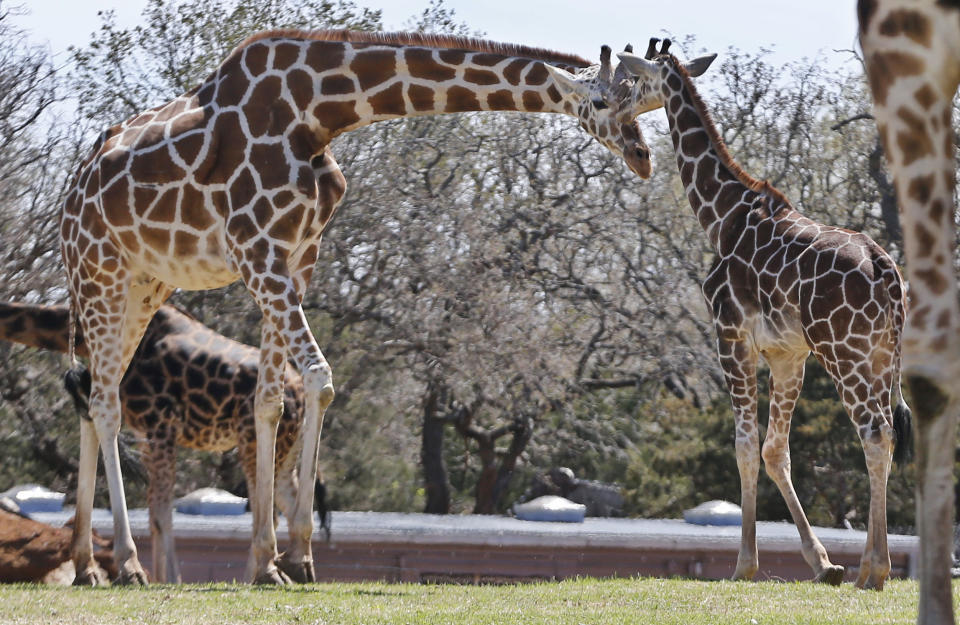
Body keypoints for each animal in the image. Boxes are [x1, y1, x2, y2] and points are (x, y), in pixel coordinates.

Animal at [0, 300, 326, 584]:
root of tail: (296, 391)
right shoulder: (146, 433)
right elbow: (156, 514)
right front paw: (156, 576)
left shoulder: (160, 424)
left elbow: (161, 513)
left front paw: (163, 578)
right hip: (287, 452)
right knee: (288, 503)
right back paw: (292, 566)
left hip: (253, 442)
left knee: (264, 511)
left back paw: (258, 576)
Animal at [56, 29, 712, 584]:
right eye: (602, 103)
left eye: (639, 105)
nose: (642, 158)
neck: (318, 114)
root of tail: (73, 186)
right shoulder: (255, 252)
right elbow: (319, 379)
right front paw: (298, 555)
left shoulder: (295, 256)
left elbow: (270, 400)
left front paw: (267, 561)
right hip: (96, 270)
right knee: (105, 402)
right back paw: (125, 564)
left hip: (145, 283)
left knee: (94, 392)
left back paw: (88, 563)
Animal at [616, 41, 916, 588]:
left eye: (634, 80)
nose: (619, 110)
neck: (721, 215)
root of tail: (886, 270)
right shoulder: (787, 354)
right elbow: (776, 450)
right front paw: (822, 563)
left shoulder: (730, 336)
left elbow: (744, 446)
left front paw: (744, 564)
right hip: (881, 355)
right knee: (888, 432)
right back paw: (866, 566)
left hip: (844, 352)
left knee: (874, 433)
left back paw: (875, 570)